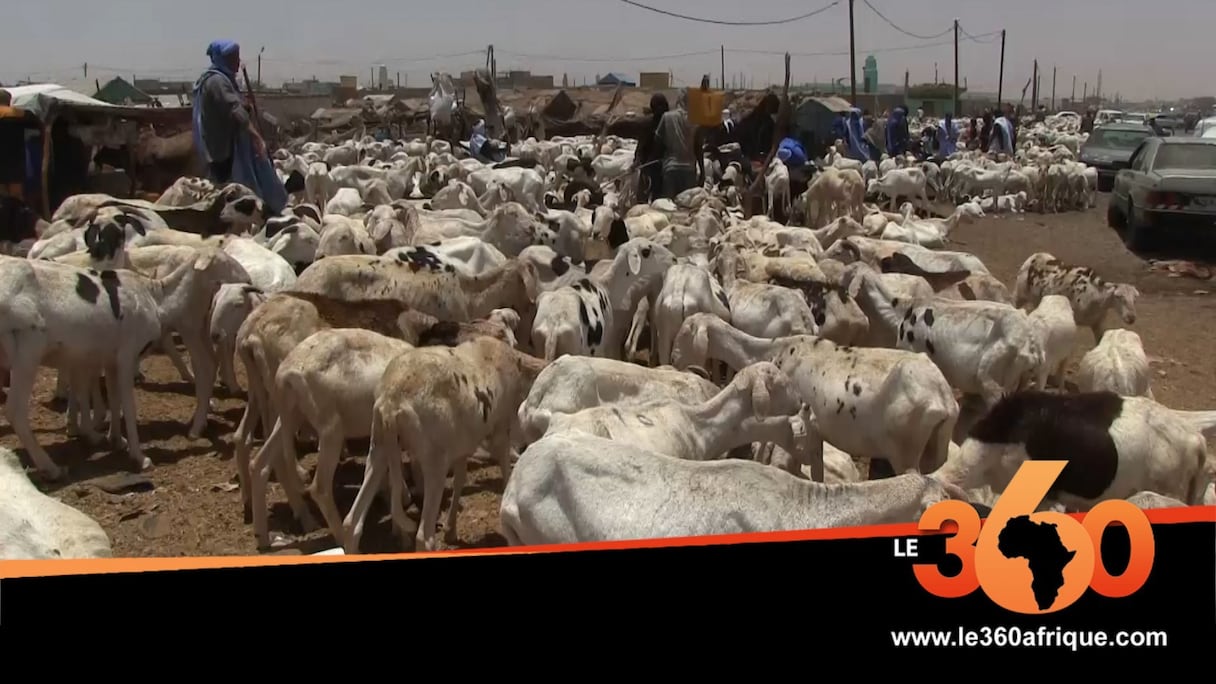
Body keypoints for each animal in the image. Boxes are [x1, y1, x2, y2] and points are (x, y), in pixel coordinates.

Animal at [340, 335, 544, 554]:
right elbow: (506, 470)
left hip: (378, 448)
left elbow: (460, 480)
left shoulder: (463, 446)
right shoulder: (500, 430)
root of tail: (392, 401)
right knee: (424, 538)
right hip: (434, 463)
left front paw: (450, 530)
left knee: (351, 523)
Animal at [1006, 251, 1138, 340]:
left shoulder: (1097, 324)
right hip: (1019, 295)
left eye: (1135, 299)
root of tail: (1034, 256)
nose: (1131, 318)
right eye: (1118, 296)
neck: (1095, 297)